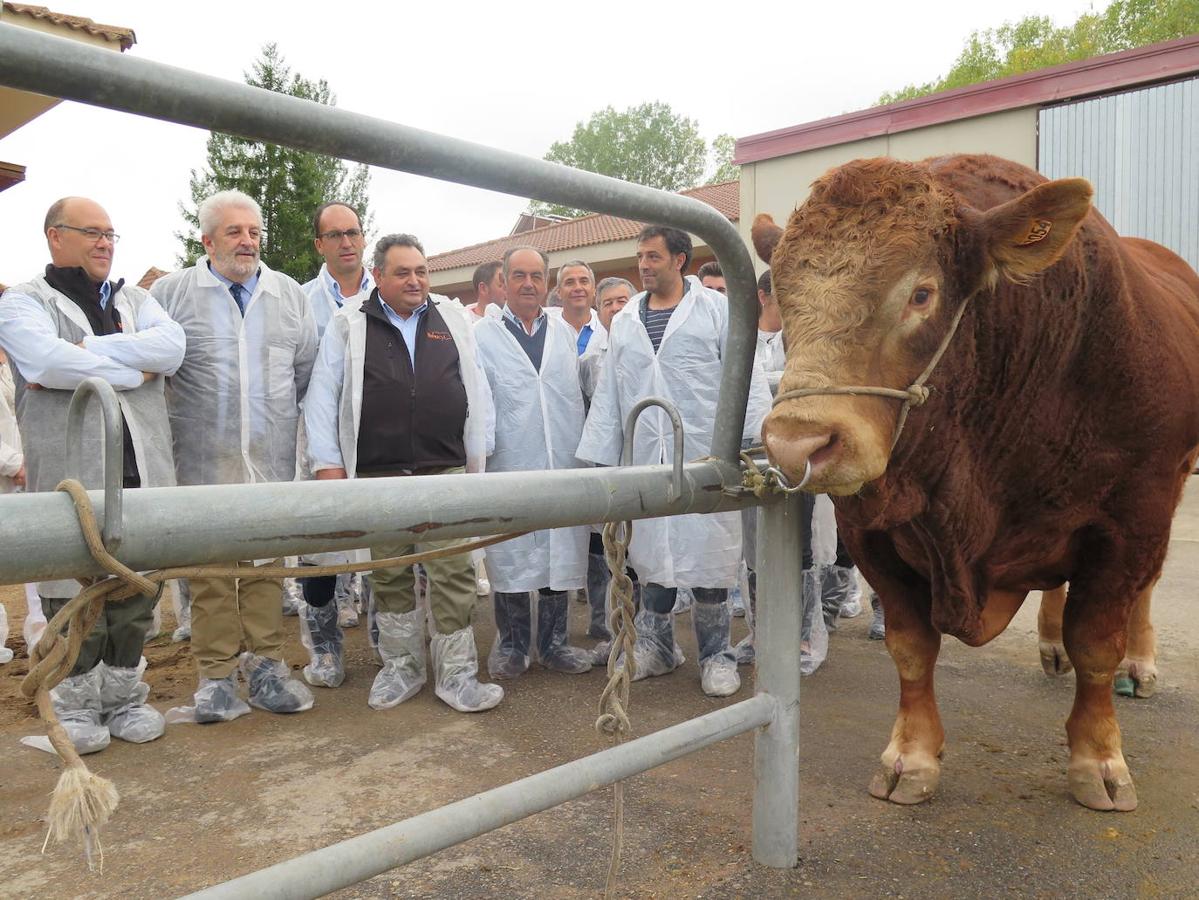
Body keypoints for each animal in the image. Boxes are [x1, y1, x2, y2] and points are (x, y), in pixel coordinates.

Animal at [752, 151, 1199, 814]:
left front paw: (1099, 759)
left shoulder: (1130, 520)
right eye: (783, 295)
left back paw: (1138, 664)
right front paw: (910, 755)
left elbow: (1097, 643)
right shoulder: (870, 531)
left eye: (921, 293)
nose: (796, 443)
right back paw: (1050, 643)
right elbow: (911, 646)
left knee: (1141, 594)